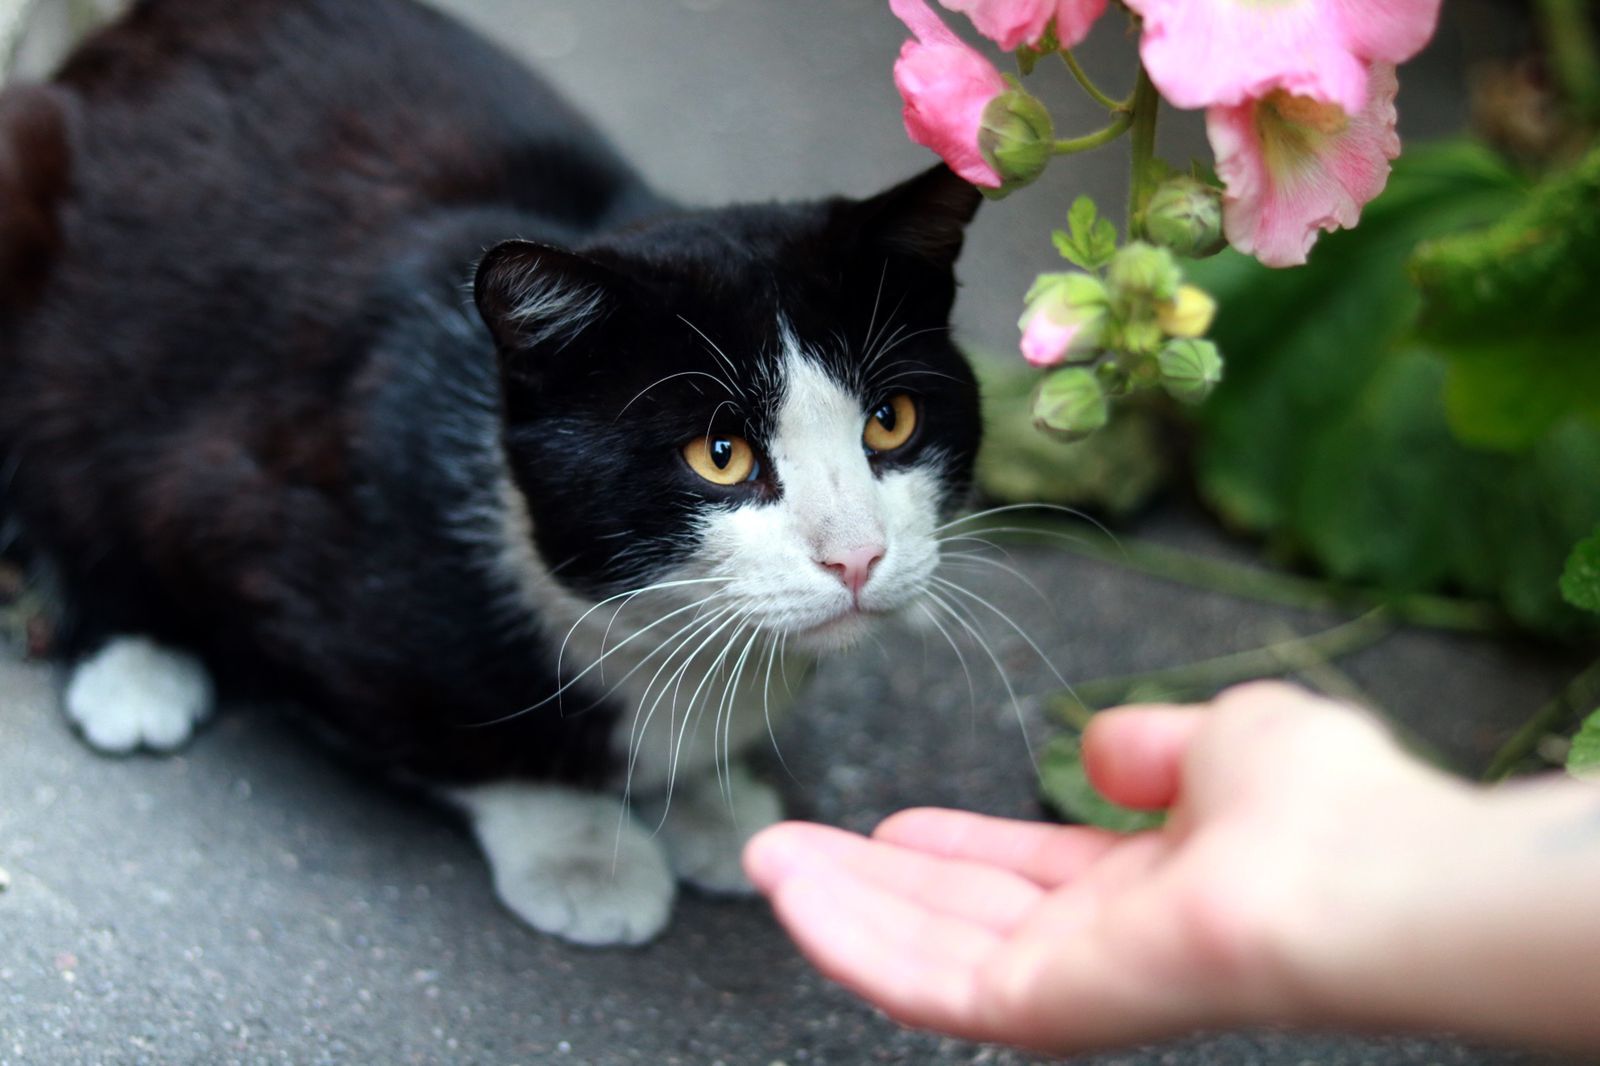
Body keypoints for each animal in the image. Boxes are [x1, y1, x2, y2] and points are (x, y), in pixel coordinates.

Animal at [0, 0, 979, 941]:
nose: (856, 556)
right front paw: (583, 855)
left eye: (891, 421)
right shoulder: (247, 522)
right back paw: (133, 668)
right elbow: (465, 742)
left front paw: (711, 800)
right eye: (720, 455)